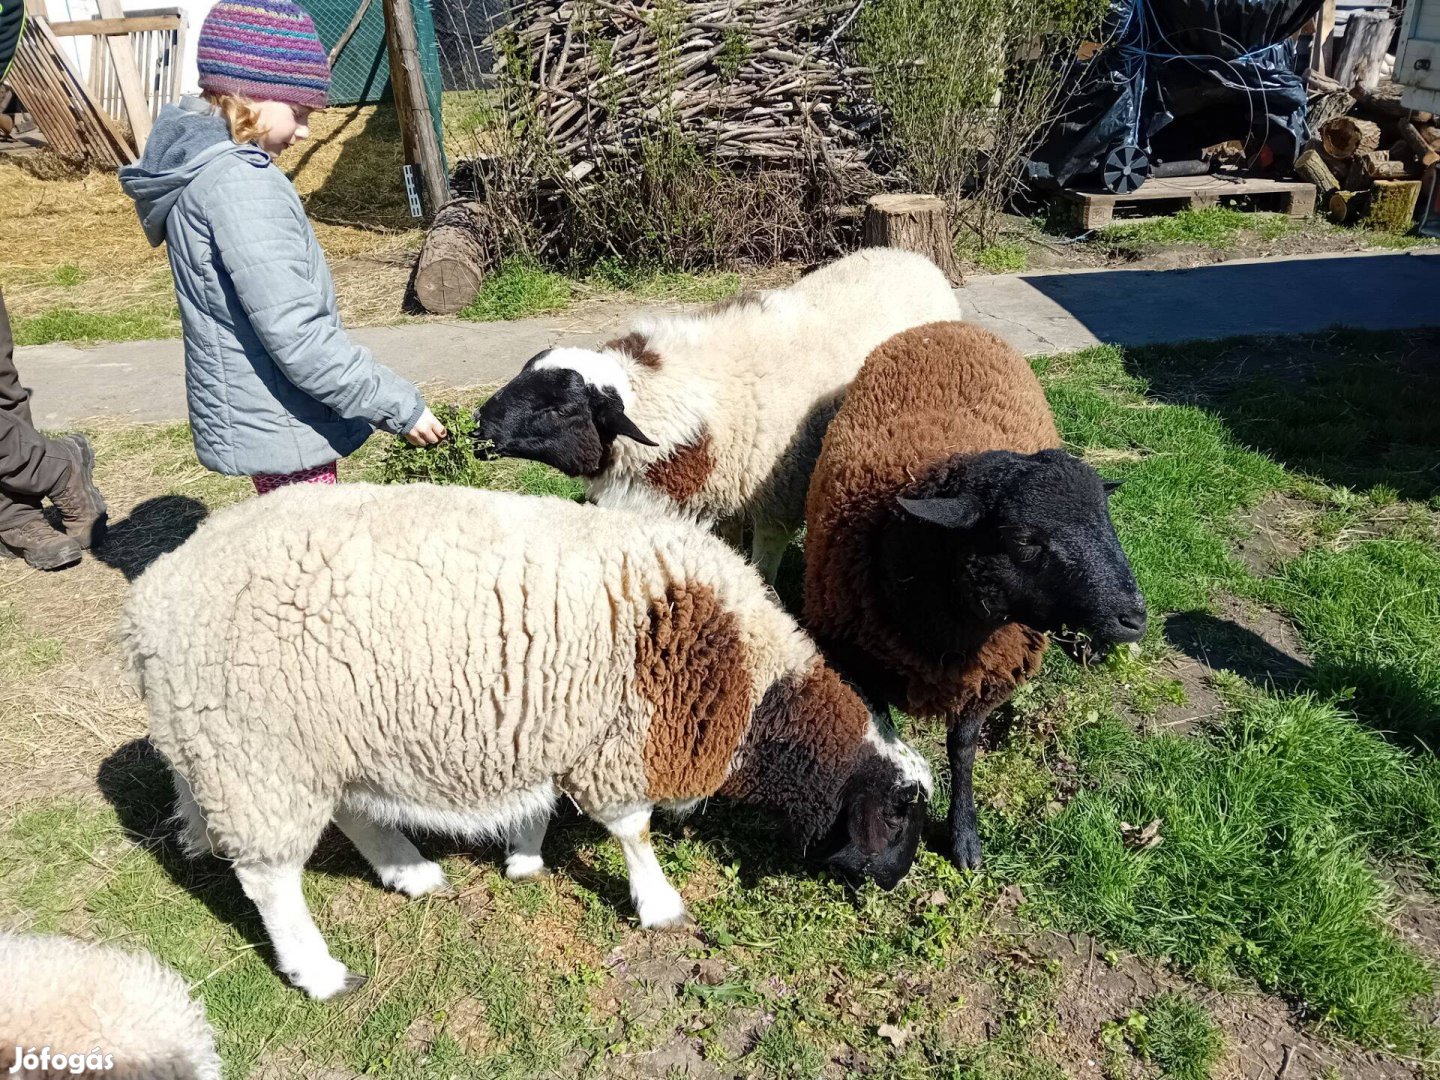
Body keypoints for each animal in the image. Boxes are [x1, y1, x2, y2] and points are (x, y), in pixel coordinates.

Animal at [123, 486, 933, 1002]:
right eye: (899, 818)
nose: (894, 887)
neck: (753, 688)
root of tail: (149, 607)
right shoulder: (616, 743)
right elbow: (633, 832)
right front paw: (659, 905)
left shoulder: (551, 729)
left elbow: (541, 804)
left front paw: (523, 854)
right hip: (254, 756)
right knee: (270, 882)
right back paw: (320, 973)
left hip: (322, 748)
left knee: (353, 814)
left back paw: (410, 872)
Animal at [478, 249, 961, 584]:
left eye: (560, 408)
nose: (479, 428)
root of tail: (912, 258)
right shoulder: (724, 492)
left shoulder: (777, 500)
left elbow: (764, 563)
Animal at [800, 321, 1146, 869]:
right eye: (1024, 540)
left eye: (1106, 521)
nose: (1135, 619)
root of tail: (947, 325)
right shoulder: (856, 660)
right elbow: (880, 737)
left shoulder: (989, 677)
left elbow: (963, 749)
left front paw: (965, 837)